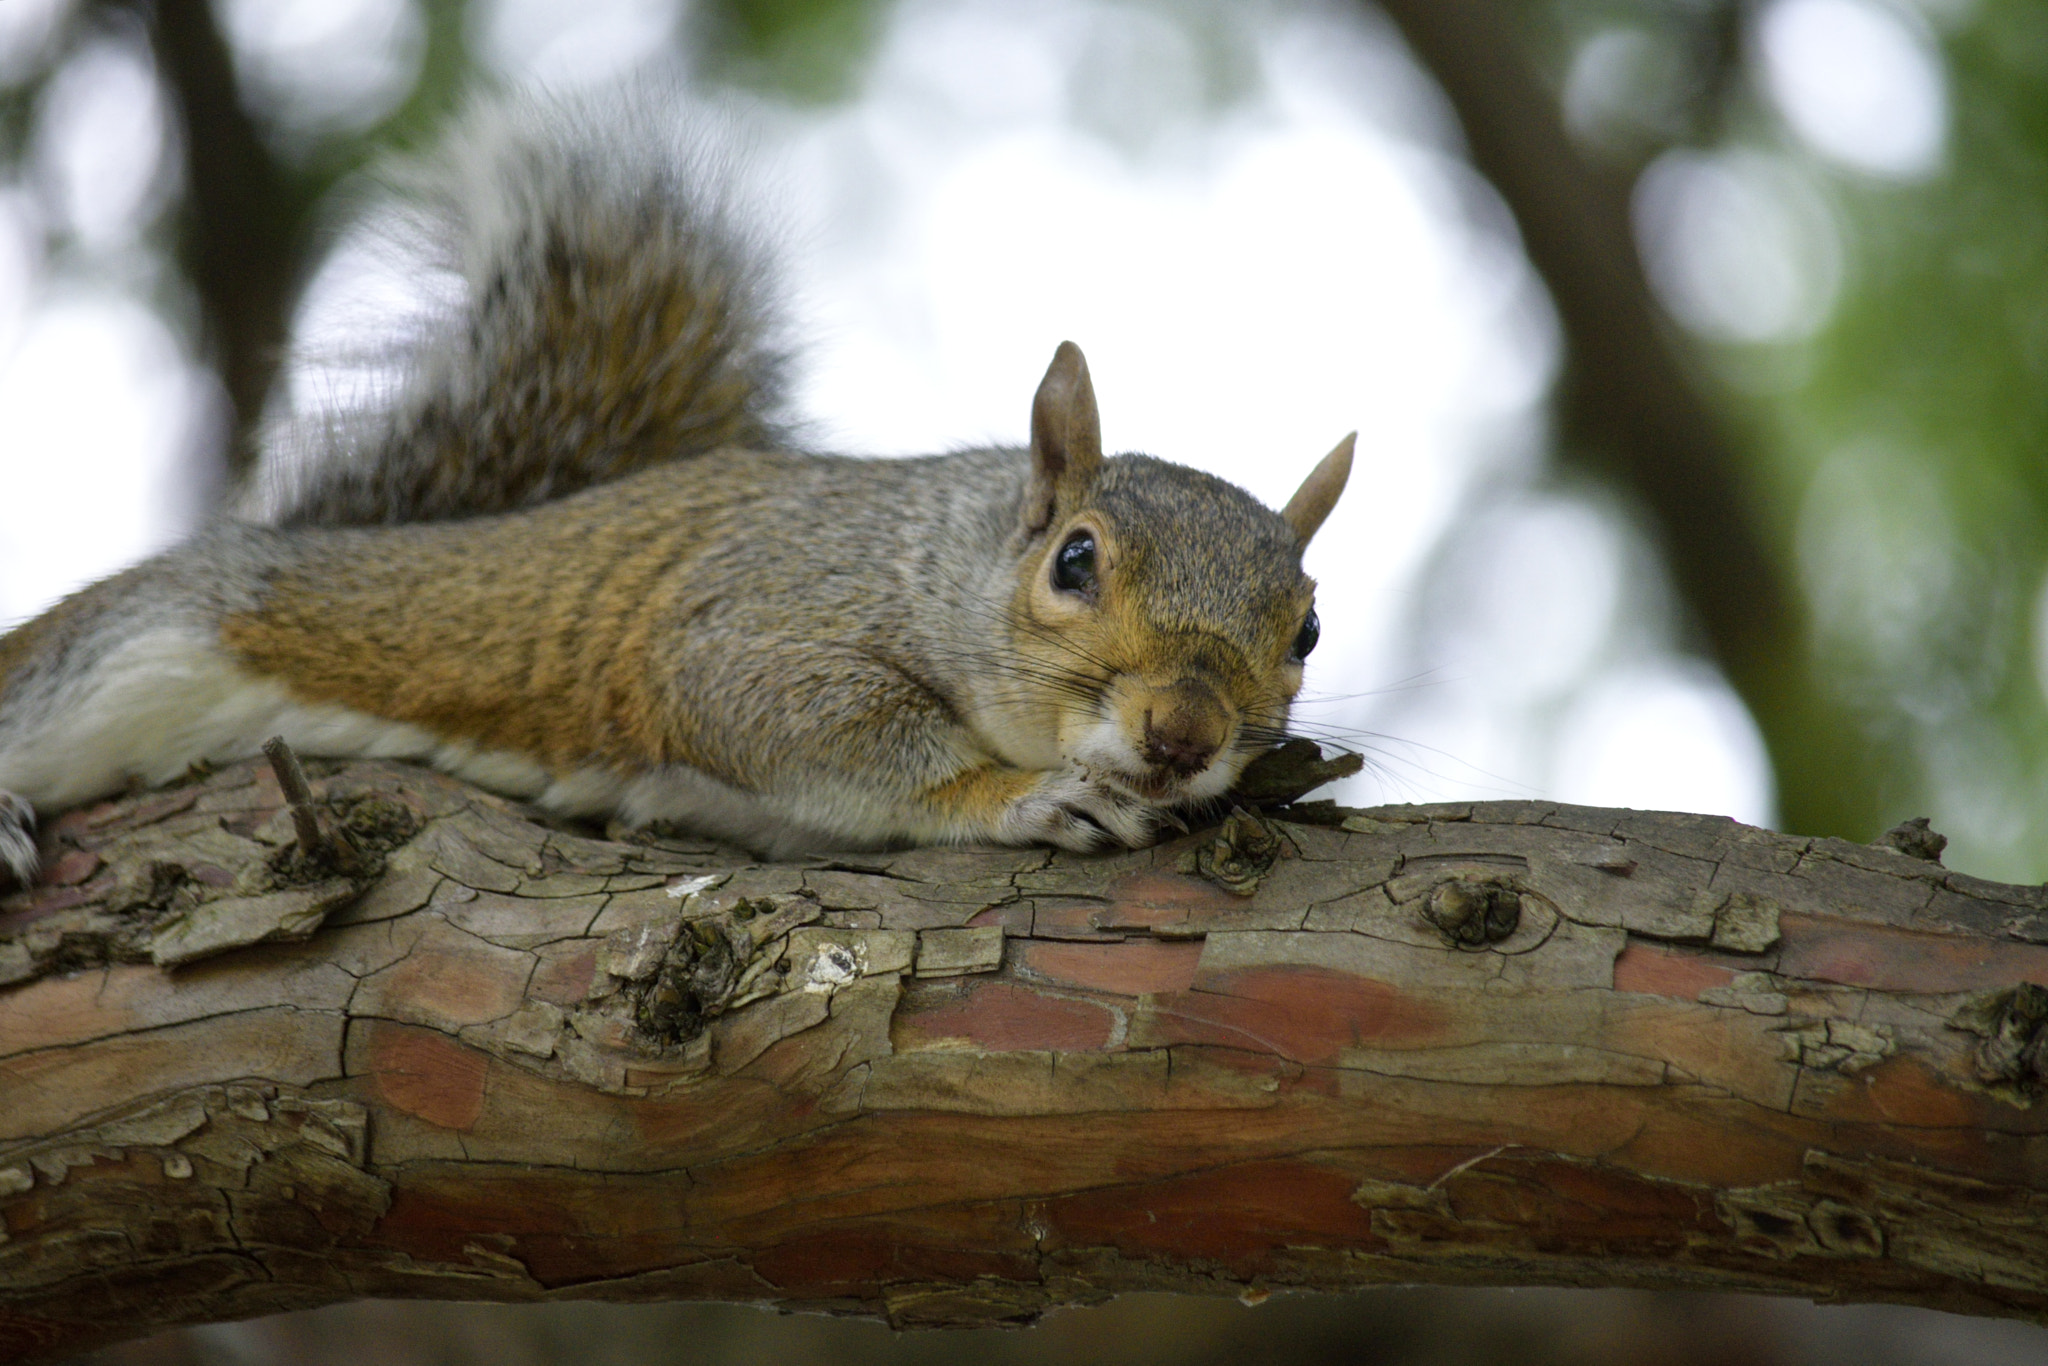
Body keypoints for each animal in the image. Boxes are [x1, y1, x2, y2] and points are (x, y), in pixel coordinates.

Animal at [0, 89, 1352, 887]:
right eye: (1073, 560)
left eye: (1305, 631)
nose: (1180, 733)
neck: (942, 555)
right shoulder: (751, 621)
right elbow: (786, 712)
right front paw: (1024, 794)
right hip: (123, 646)